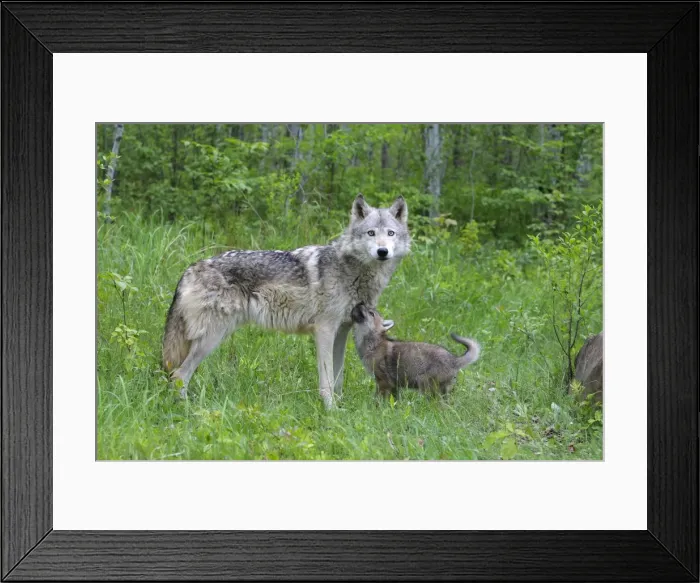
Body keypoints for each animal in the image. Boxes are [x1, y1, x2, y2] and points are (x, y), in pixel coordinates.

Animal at [162, 194, 410, 409]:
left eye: (390, 233)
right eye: (371, 233)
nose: (382, 251)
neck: (353, 272)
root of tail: (190, 268)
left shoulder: (342, 331)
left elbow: (338, 377)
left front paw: (341, 407)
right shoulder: (324, 330)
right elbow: (327, 379)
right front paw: (331, 410)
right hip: (212, 338)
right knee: (179, 375)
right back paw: (187, 410)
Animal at [350, 303, 480, 398]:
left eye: (371, 313)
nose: (360, 302)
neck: (373, 343)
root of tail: (454, 360)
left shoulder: (383, 382)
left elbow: (378, 399)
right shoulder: (393, 385)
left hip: (426, 387)